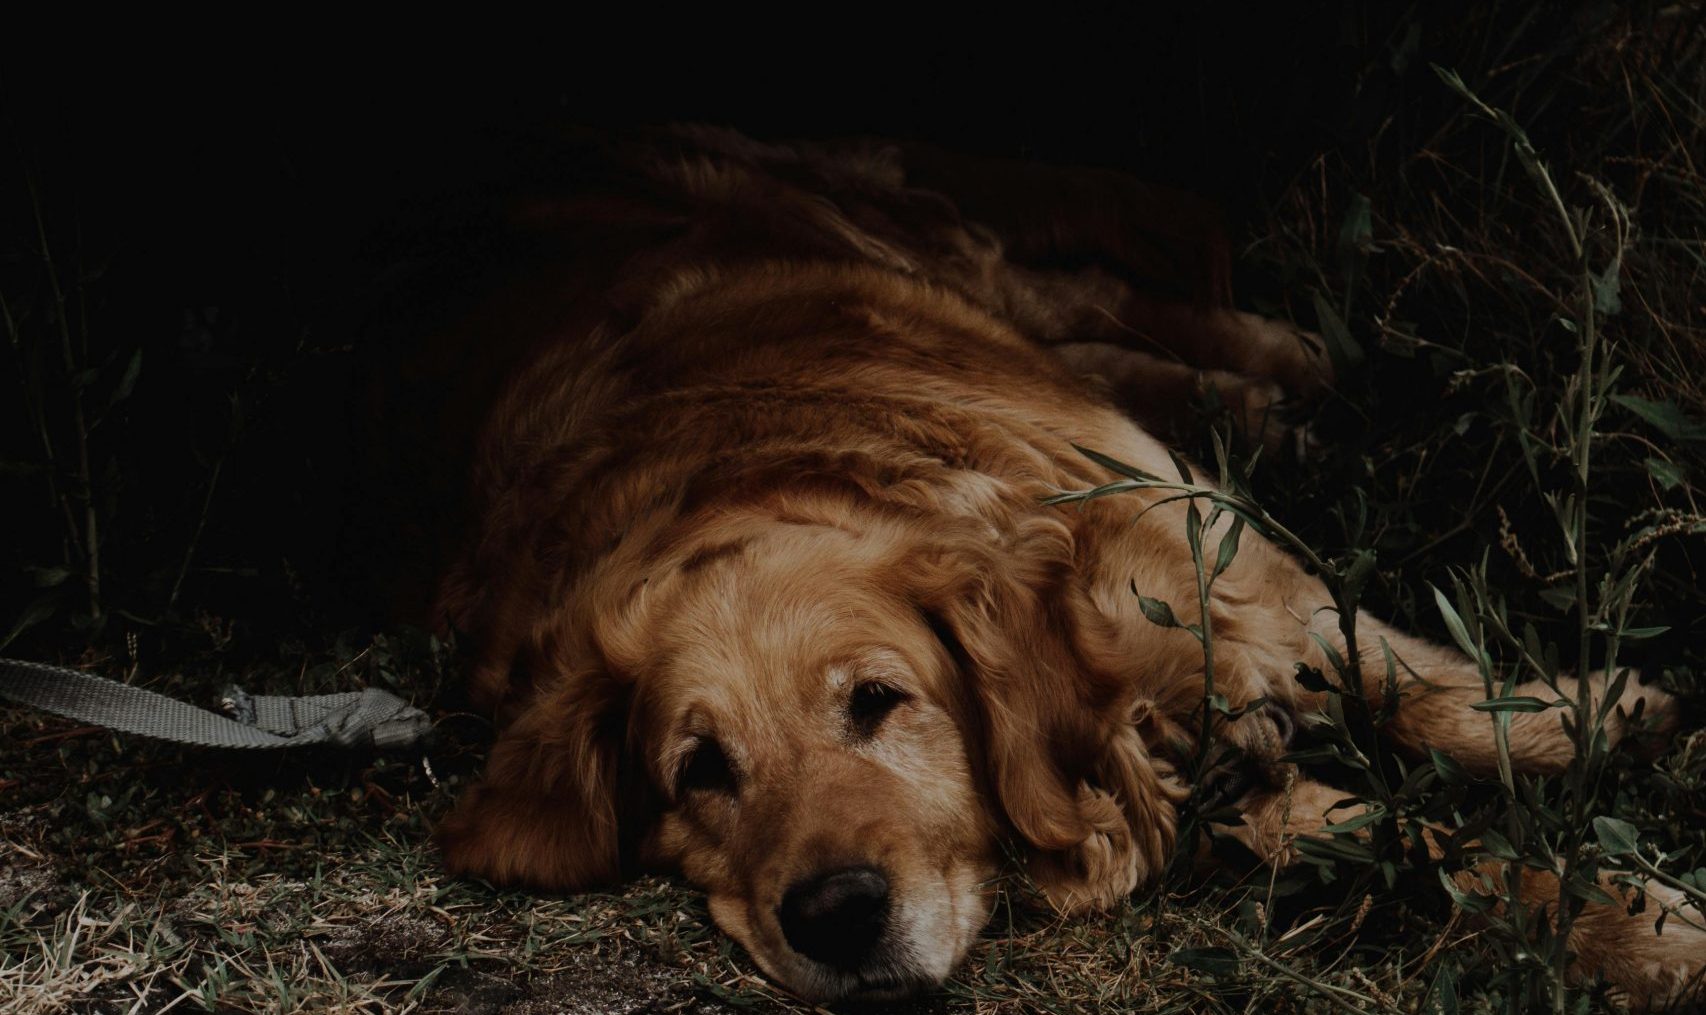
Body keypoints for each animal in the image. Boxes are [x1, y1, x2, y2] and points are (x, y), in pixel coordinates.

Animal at [416, 127, 1706, 1009]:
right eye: (698, 772)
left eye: (877, 699)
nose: (835, 915)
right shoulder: (1206, 775)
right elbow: (1431, 852)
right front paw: (1630, 927)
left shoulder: (1230, 570)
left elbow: (1411, 687)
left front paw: (1590, 729)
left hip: (939, 250)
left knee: (1095, 298)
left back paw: (1279, 366)